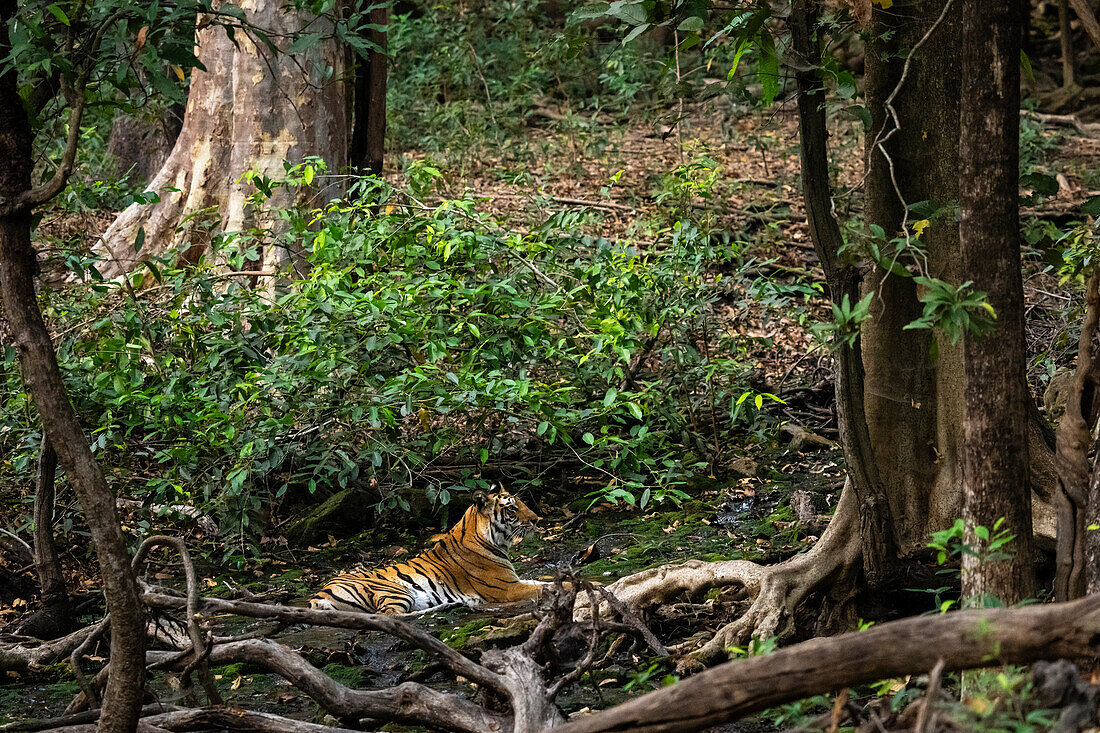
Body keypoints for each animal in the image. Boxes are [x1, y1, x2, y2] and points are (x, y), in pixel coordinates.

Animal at [310, 488, 545, 611]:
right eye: (512, 508)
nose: (536, 519)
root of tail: (318, 595)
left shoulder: (514, 581)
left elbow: (542, 582)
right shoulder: (507, 588)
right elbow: (544, 588)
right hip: (394, 590)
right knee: (390, 616)